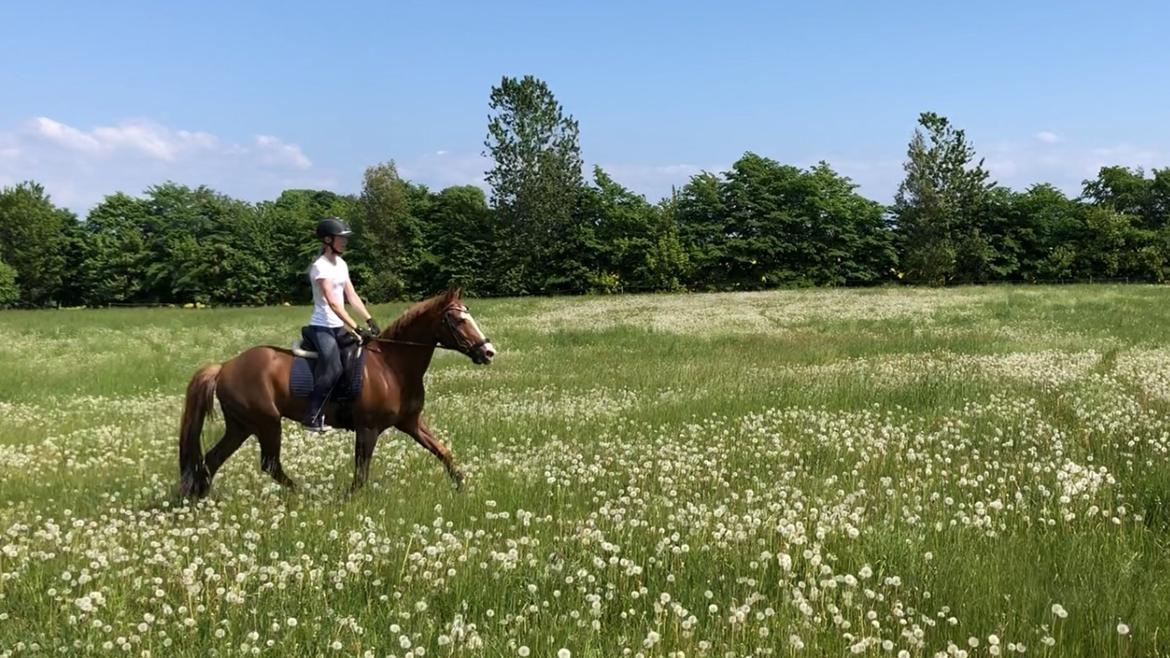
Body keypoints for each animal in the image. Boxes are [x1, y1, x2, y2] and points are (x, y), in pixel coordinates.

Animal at [176, 286, 493, 496]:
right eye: (459, 320)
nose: (488, 351)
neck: (392, 366)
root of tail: (224, 366)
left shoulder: (410, 422)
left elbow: (443, 451)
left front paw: (463, 486)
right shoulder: (368, 429)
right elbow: (361, 473)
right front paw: (352, 500)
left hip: (241, 426)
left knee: (211, 460)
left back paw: (200, 498)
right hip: (266, 423)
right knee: (270, 464)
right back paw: (304, 494)